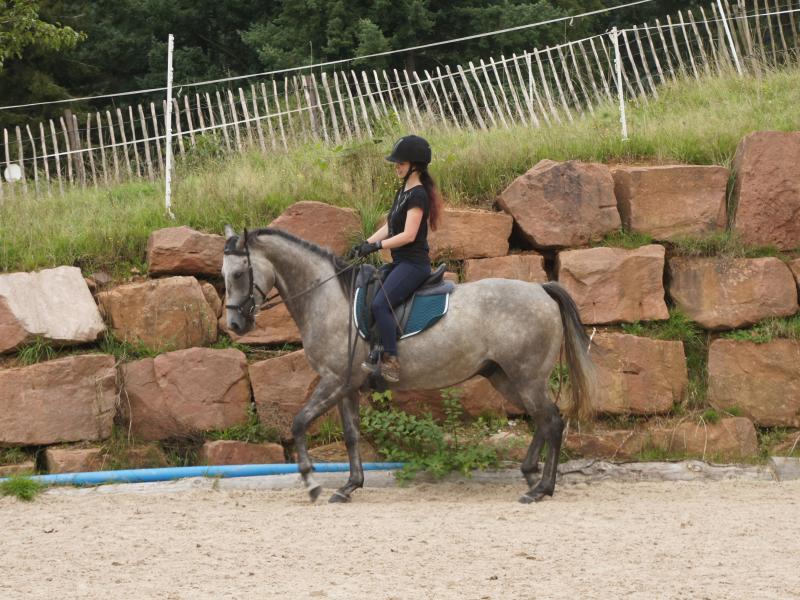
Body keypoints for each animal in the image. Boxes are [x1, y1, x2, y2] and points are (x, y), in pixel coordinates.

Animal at [222, 227, 596, 504]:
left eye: (239, 273)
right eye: (224, 275)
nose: (235, 324)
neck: (328, 299)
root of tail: (541, 289)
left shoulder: (333, 381)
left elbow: (299, 422)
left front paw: (312, 483)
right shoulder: (346, 386)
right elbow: (351, 435)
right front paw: (349, 486)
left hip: (525, 376)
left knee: (551, 420)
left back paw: (541, 488)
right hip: (505, 376)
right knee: (543, 419)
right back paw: (531, 474)